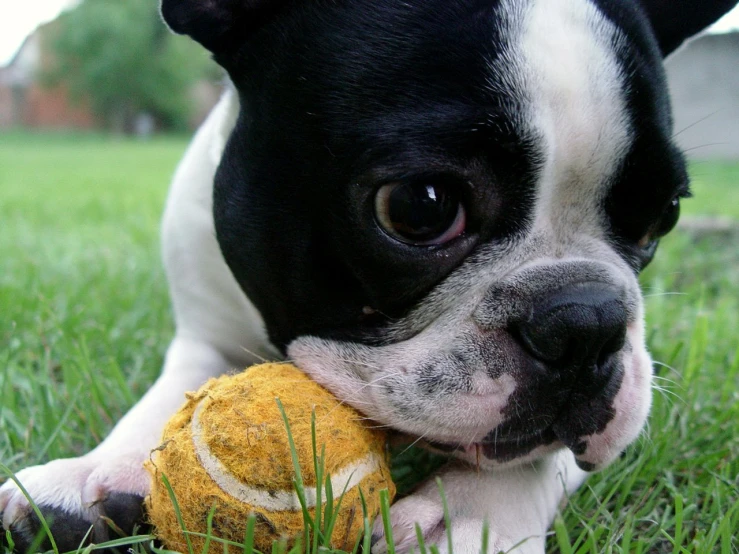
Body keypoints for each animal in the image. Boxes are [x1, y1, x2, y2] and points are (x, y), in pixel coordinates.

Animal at [1, 0, 739, 548]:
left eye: (662, 216)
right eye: (420, 206)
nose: (584, 323)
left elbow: (539, 452)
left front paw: (467, 514)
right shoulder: (203, 329)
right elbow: (166, 397)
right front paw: (92, 468)